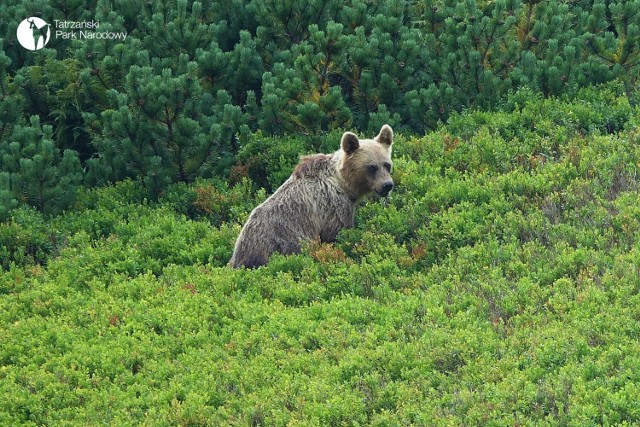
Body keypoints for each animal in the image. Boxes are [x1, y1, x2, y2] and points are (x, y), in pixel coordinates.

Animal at [228, 125, 392, 270]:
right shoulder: (334, 206)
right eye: (372, 167)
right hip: (283, 240)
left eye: (387, 164)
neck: (343, 183)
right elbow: (337, 233)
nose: (387, 185)